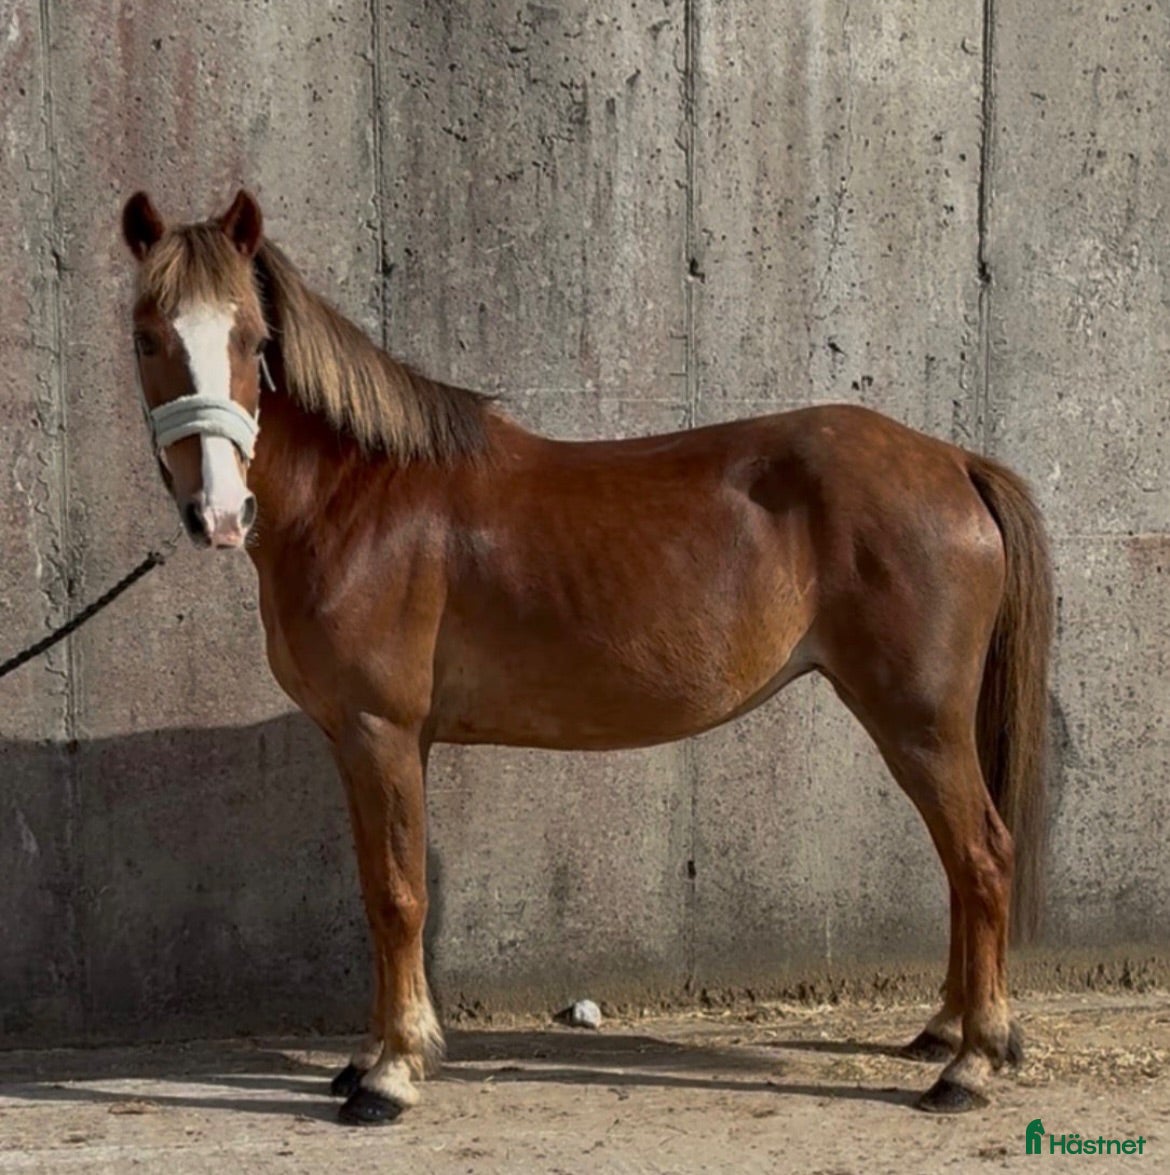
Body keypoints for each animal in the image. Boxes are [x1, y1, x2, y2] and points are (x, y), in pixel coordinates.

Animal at [121, 189, 1052, 1124]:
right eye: (147, 335)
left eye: (252, 339)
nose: (218, 511)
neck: (360, 499)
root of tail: (955, 463)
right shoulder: (363, 741)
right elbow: (378, 890)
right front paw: (374, 1055)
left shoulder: (381, 730)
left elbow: (397, 896)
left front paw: (391, 1074)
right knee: (959, 865)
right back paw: (947, 1029)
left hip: (919, 720)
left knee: (982, 857)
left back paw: (969, 1063)